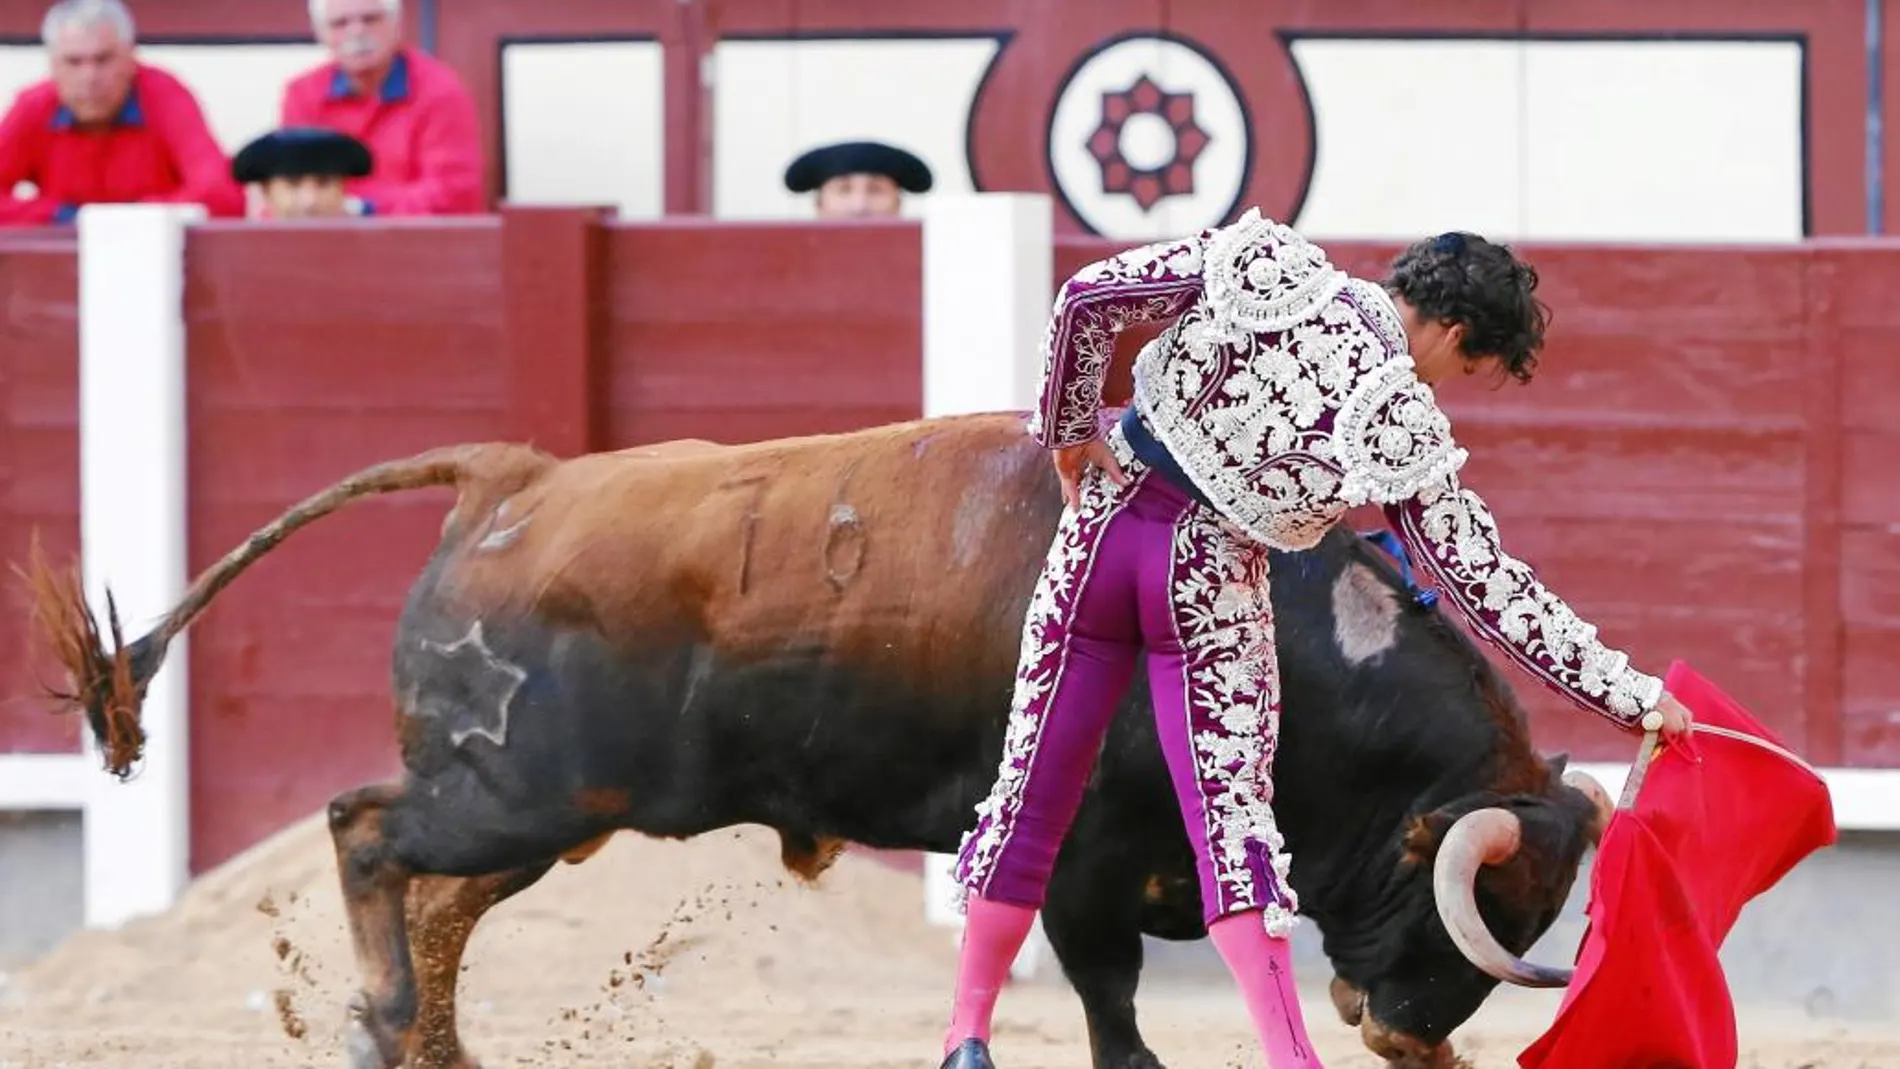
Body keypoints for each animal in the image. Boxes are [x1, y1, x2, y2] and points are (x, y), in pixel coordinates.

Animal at [22, 412, 1611, 1069]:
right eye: (1454, 901)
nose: (1408, 1038)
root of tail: (514, 479)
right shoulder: (1083, 864)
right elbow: (1110, 1011)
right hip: (511, 794)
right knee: (369, 834)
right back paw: (382, 1024)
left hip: (551, 812)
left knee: (442, 899)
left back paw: (433, 1048)